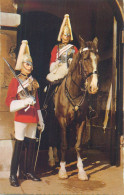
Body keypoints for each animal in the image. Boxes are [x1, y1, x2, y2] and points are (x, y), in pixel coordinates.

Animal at [53, 35, 99, 181]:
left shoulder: (81, 121)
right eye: (85, 58)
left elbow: (78, 145)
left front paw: (81, 171)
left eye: (97, 58)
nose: (93, 87)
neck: (74, 92)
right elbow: (63, 144)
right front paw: (62, 170)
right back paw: (53, 159)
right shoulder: (61, 121)